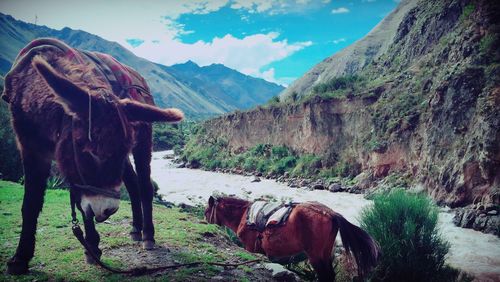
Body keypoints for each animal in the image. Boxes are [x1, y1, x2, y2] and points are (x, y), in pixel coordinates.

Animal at [1, 38, 184, 274]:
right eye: (90, 152)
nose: (108, 210)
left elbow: (82, 206)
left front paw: (92, 248)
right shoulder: (31, 149)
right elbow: (31, 204)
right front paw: (20, 258)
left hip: (143, 140)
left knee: (144, 185)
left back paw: (147, 235)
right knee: (132, 183)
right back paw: (135, 228)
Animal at [205, 196, 380, 282]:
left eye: (207, 211)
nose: (205, 222)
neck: (244, 215)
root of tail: (331, 213)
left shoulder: (249, 247)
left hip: (315, 255)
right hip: (325, 253)